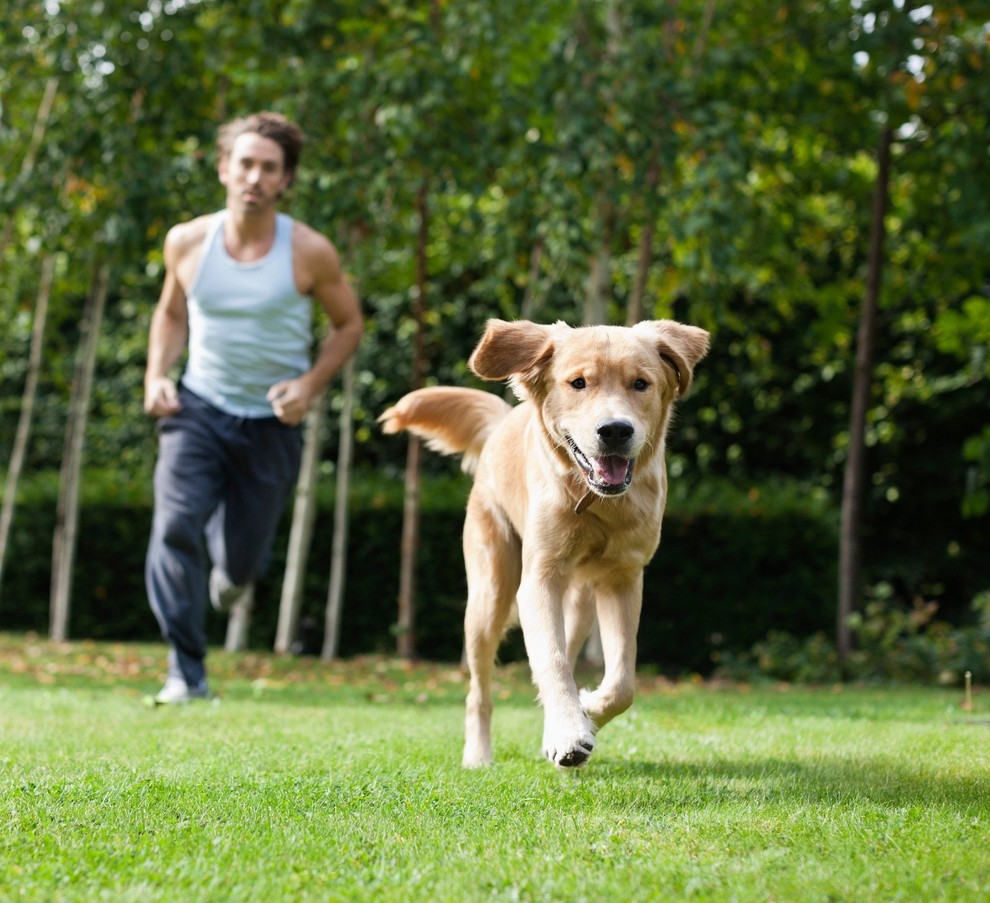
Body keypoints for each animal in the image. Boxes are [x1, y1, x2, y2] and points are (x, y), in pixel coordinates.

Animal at [380, 320, 712, 768]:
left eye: (641, 383)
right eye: (578, 383)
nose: (615, 430)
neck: (595, 501)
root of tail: (502, 423)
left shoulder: (623, 578)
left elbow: (622, 683)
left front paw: (584, 715)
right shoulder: (538, 579)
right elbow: (551, 661)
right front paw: (569, 734)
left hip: (580, 604)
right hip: (489, 597)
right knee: (479, 692)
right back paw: (479, 754)